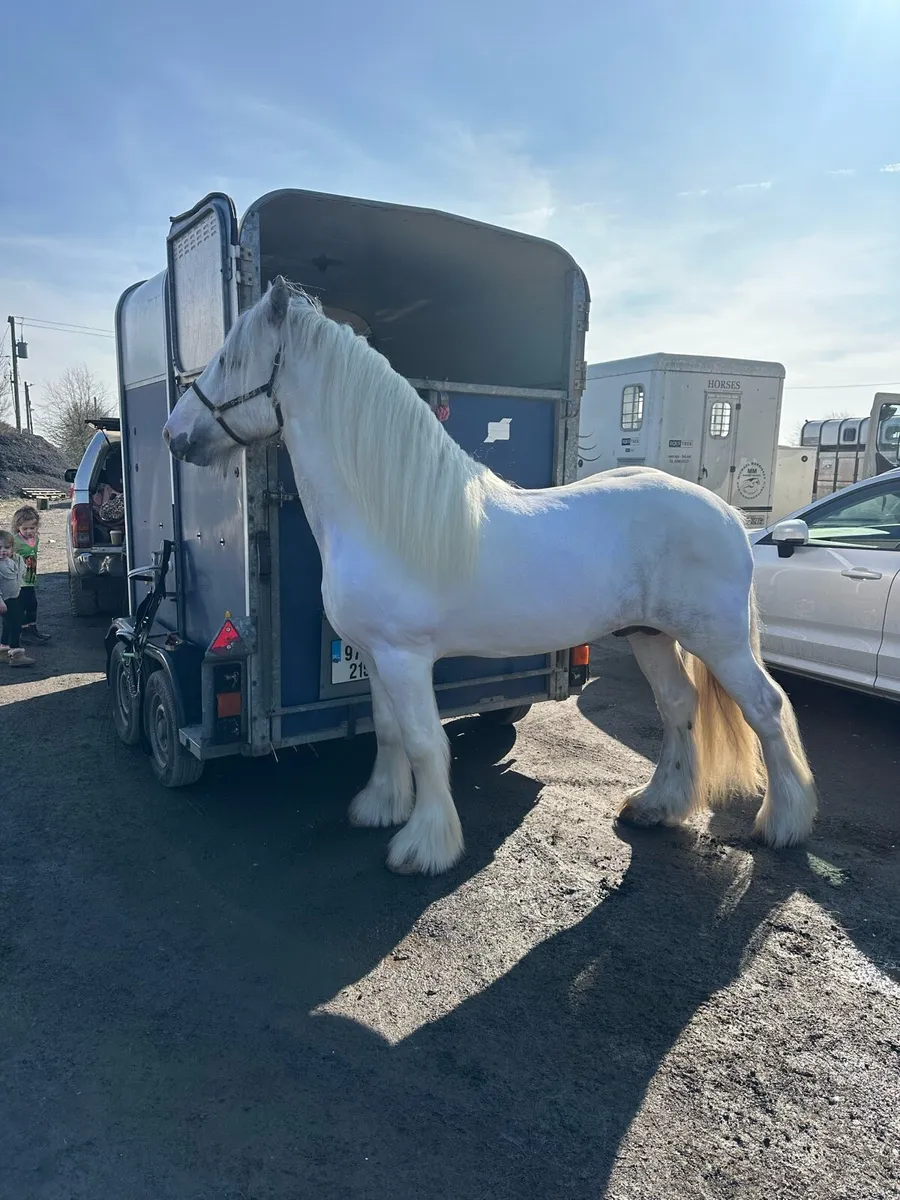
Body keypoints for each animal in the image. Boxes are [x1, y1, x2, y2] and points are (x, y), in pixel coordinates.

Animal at [163, 277, 818, 876]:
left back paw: (784, 823)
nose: (174, 434)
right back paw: (658, 806)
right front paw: (381, 806)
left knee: (766, 707)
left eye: (228, 360)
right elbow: (387, 730)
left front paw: (425, 846)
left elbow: (425, 742)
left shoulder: (404, 656)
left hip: (717, 640)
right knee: (678, 704)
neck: (382, 514)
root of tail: (729, 514)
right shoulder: (374, 655)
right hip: (649, 635)